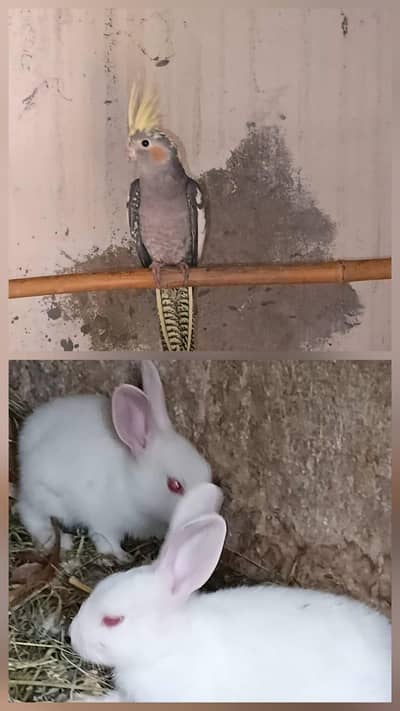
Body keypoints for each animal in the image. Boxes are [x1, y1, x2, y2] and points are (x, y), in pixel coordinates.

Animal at [16, 361, 211, 563]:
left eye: (208, 472)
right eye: (174, 485)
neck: (131, 484)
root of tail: (27, 435)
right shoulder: (104, 519)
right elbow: (106, 539)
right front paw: (121, 556)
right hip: (47, 496)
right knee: (29, 512)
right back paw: (59, 539)